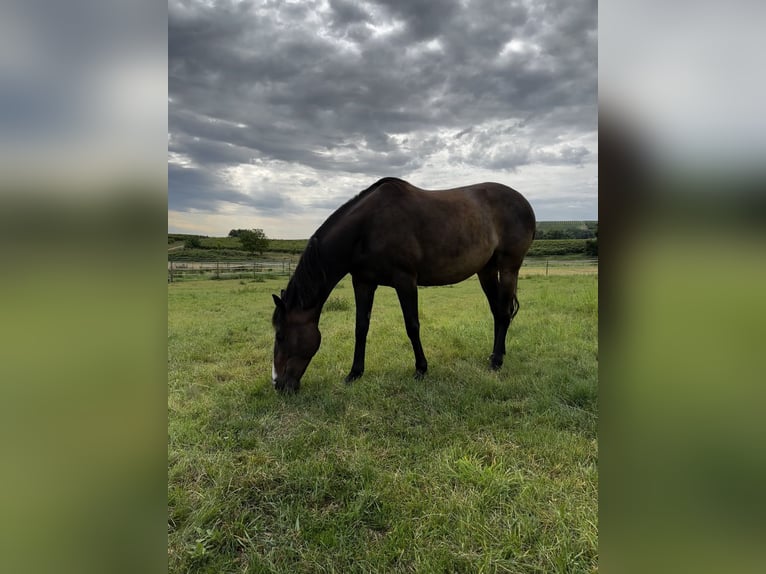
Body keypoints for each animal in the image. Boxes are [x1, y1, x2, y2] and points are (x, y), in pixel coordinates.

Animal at [272, 179, 536, 396]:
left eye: (281, 335)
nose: (278, 384)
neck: (367, 227)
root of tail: (525, 203)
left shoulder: (405, 280)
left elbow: (412, 326)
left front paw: (421, 369)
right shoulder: (363, 282)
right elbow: (361, 327)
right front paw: (354, 373)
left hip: (509, 267)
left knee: (503, 313)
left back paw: (497, 362)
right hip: (486, 270)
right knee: (497, 312)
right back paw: (496, 355)